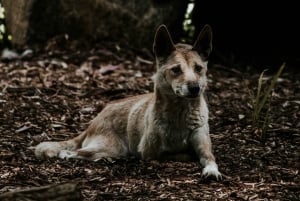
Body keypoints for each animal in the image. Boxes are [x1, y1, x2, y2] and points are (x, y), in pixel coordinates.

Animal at [35, 24, 223, 180]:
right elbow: (179, 155)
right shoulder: (149, 153)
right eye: (176, 69)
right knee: (73, 152)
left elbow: (208, 156)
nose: (195, 88)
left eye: (198, 68)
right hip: (113, 146)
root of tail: (95, 120)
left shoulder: (201, 140)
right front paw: (188, 154)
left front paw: (212, 170)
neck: (180, 114)